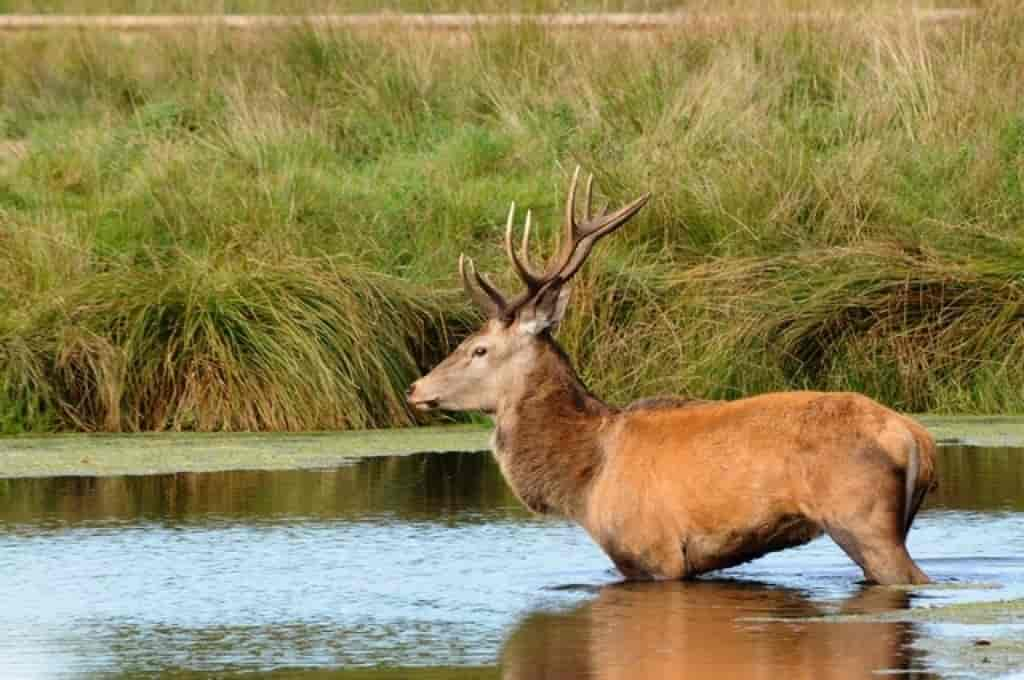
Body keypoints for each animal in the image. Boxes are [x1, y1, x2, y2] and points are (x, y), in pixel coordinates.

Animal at [405, 166, 937, 585]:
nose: (415, 388)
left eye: (478, 349)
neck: (587, 482)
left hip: (860, 516)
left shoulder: (653, 553)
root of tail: (915, 437)